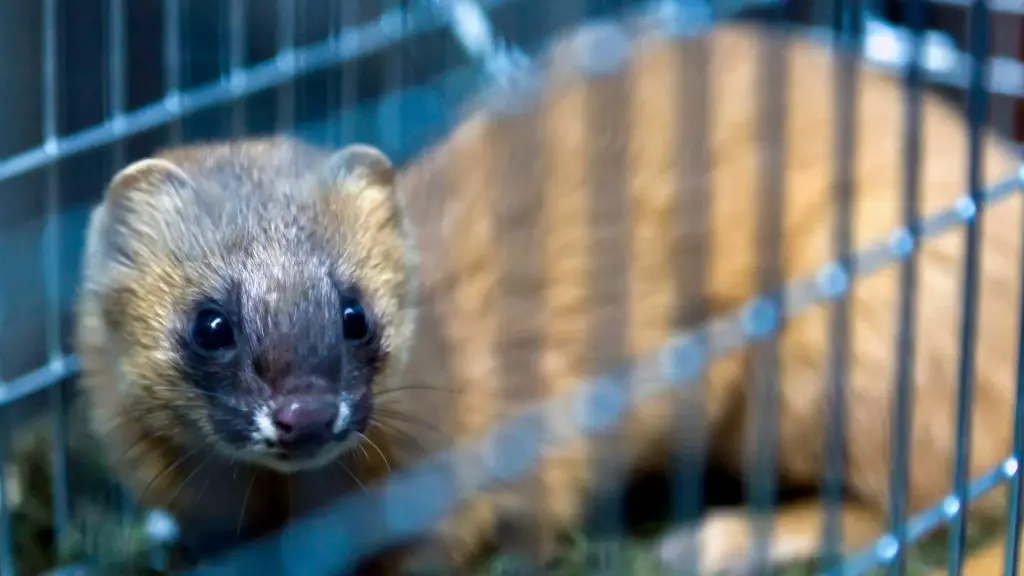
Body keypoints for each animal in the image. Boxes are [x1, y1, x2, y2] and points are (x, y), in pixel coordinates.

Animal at [77, 15, 1024, 569]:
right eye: (210, 322)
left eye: (355, 312)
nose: (307, 414)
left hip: (852, 341)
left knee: (921, 495)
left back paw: (726, 539)